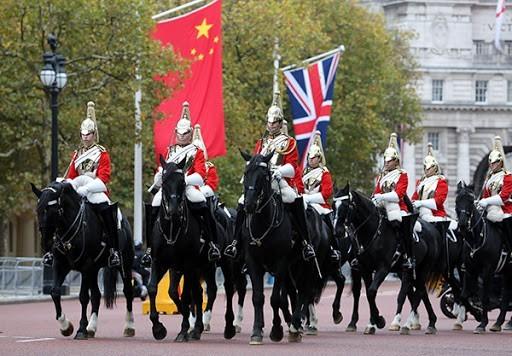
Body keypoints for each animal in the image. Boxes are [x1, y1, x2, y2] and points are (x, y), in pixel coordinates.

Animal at [29, 181, 134, 340]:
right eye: (38, 209)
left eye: (53, 210)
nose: (45, 243)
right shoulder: (61, 265)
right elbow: (55, 292)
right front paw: (65, 326)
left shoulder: (86, 266)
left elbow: (83, 297)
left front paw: (80, 329)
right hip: (94, 270)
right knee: (96, 295)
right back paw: (92, 328)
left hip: (124, 264)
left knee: (128, 291)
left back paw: (128, 326)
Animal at [148, 157, 236, 340]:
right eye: (164, 181)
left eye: (182, 182)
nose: (174, 210)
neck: (172, 229)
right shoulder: (161, 262)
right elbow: (155, 289)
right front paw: (158, 328)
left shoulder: (187, 264)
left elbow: (186, 296)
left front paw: (183, 329)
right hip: (203, 267)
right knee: (201, 292)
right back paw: (197, 328)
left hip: (223, 262)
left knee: (228, 289)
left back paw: (228, 327)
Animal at [239, 151, 312, 344]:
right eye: (246, 172)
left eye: (264, 176)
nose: (249, 205)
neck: (263, 223)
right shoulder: (253, 263)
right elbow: (258, 298)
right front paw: (257, 331)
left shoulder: (281, 263)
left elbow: (274, 299)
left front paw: (276, 330)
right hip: (290, 270)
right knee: (293, 293)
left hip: (300, 265)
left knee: (302, 291)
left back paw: (295, 326)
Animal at [456, 181, 512, 334]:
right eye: (457, 200)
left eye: (470, 201)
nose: (462, 224)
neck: (477, 237)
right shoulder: (470, 270)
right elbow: (465, 295)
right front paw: (475, 315)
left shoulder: (487, 270)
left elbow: (485, 297)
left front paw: (482, 323)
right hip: (506, 272)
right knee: (506, 294)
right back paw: (499, 323)